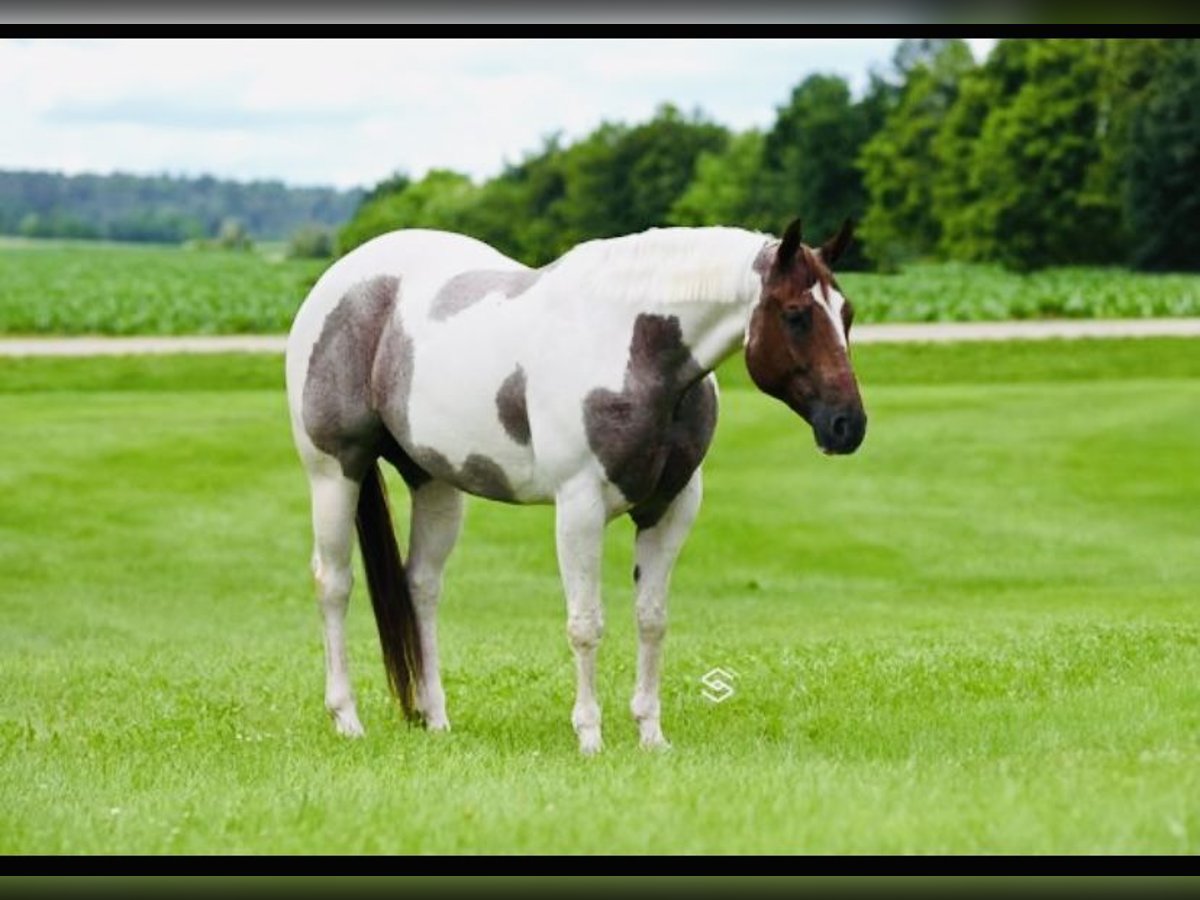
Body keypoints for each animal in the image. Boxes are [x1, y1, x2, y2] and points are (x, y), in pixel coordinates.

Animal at [284, 217, 866, 754]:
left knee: (421, 586)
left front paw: (651, 735)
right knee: (333, 583)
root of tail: (343, 279)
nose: (848, 426)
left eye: (847, 314)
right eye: (796, 315)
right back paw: (347, 719)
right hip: (334, 472)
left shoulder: (671, 508)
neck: (633, 348)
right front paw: (590, 736)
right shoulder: (579, 507)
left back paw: (436, 719)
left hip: (435, 482)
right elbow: (586, 624)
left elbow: (651, 619)